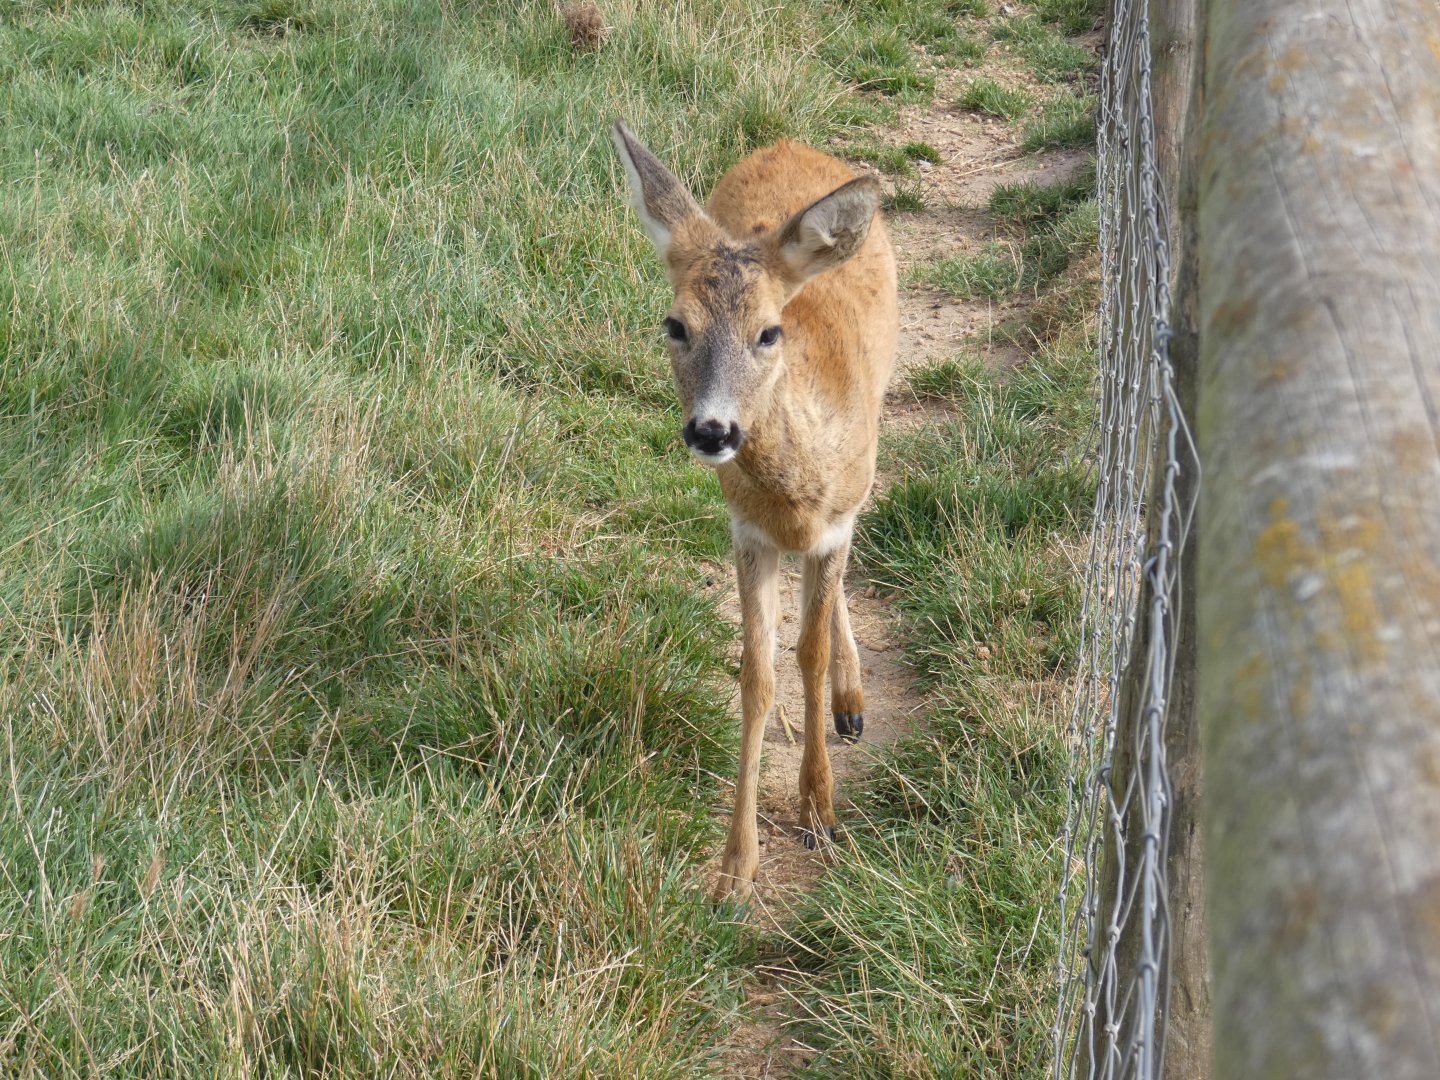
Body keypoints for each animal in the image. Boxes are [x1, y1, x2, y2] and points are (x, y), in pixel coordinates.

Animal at [611, 121, 898, 901]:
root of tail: (789, 143)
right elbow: (757, 674)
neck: (796, 499)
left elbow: (810, 653)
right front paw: (734, 872)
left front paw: (821, 812)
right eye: (674, 325)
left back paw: (851, 703)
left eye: (770, 332)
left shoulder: (837, 521)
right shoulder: (746, 532)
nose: (713, 431)